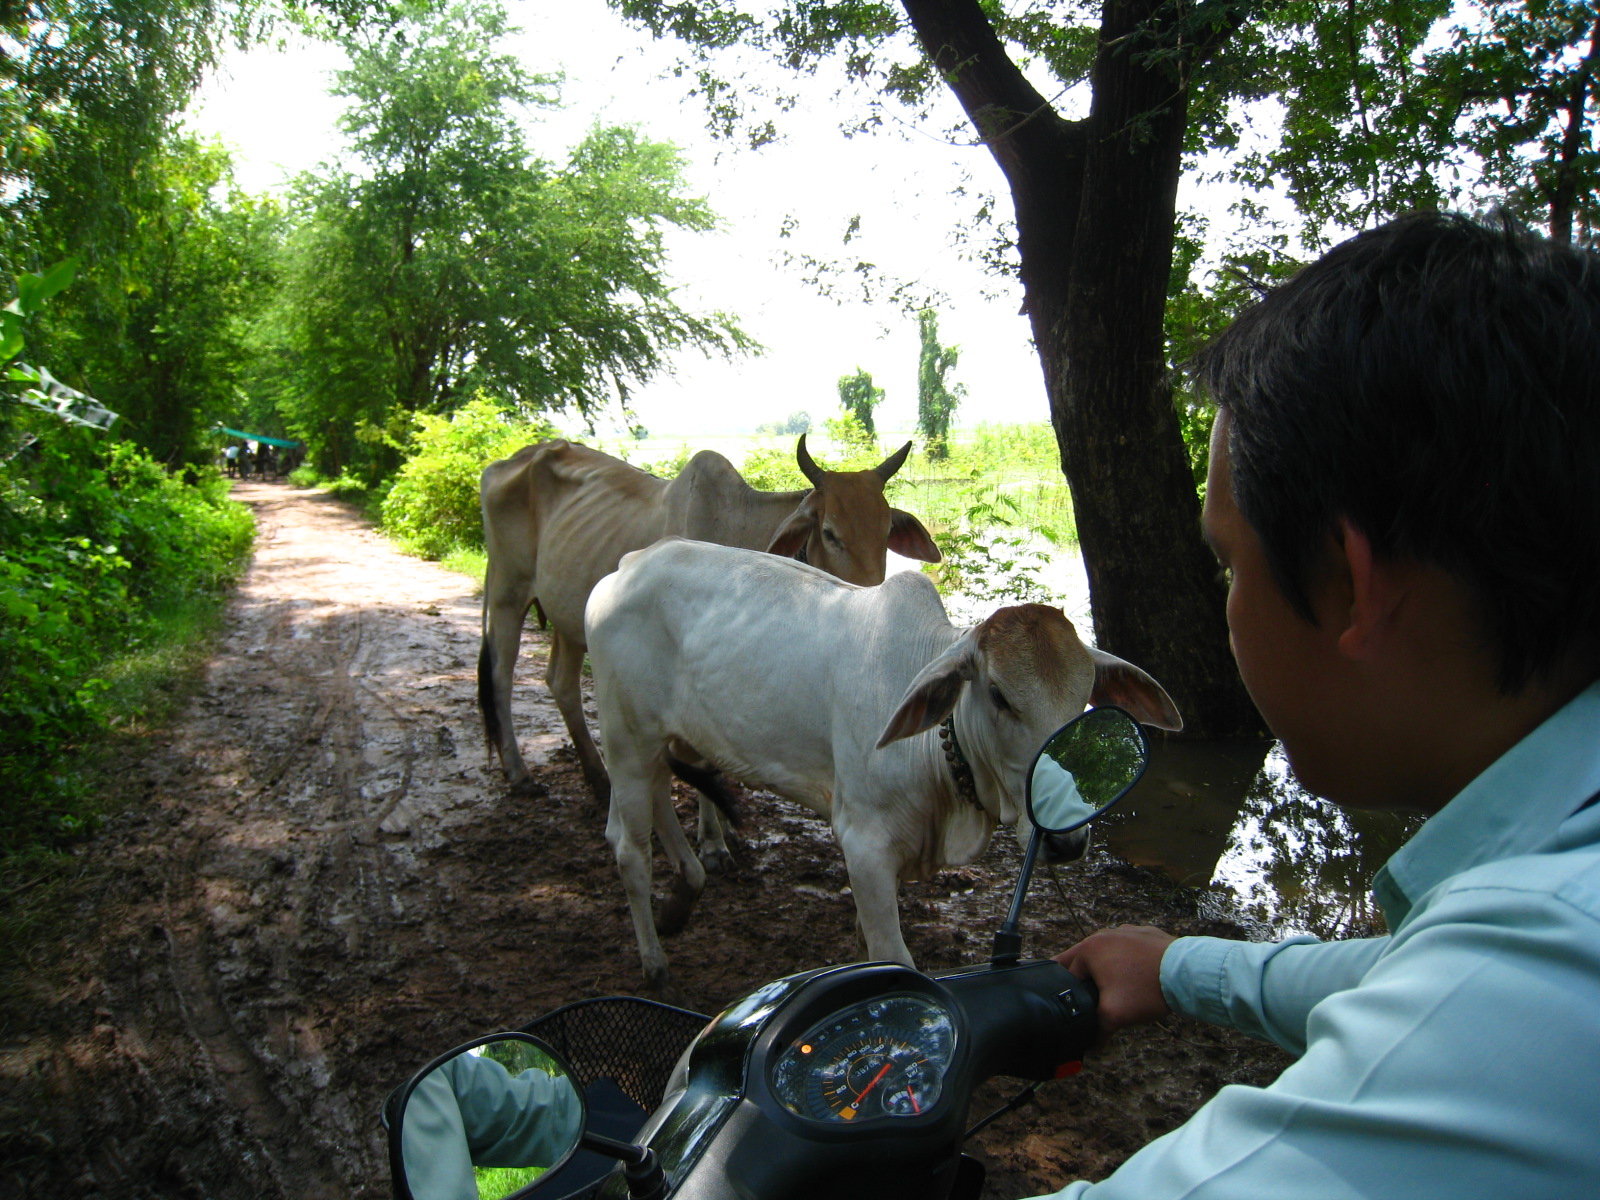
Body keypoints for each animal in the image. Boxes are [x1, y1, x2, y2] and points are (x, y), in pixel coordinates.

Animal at [473, 428, 934, 844]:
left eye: (886, 533)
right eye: (829, 533)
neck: (740, 534)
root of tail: (507, 461)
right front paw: (713, 839)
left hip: (567, 617)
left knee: (560, 682)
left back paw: (597, 777)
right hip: (507, 592)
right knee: (500, 673)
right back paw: (519, 773)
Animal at [582, 540, 1184, 992]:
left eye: (1084, 702)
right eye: (999, 695)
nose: (1065, 839)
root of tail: (628, 564)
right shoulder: (865, 844)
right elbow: (894, 957)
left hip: (659, 739)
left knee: (651, 807)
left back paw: (684, 895)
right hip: (625, 736)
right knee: (628, 846)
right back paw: (655, 962)